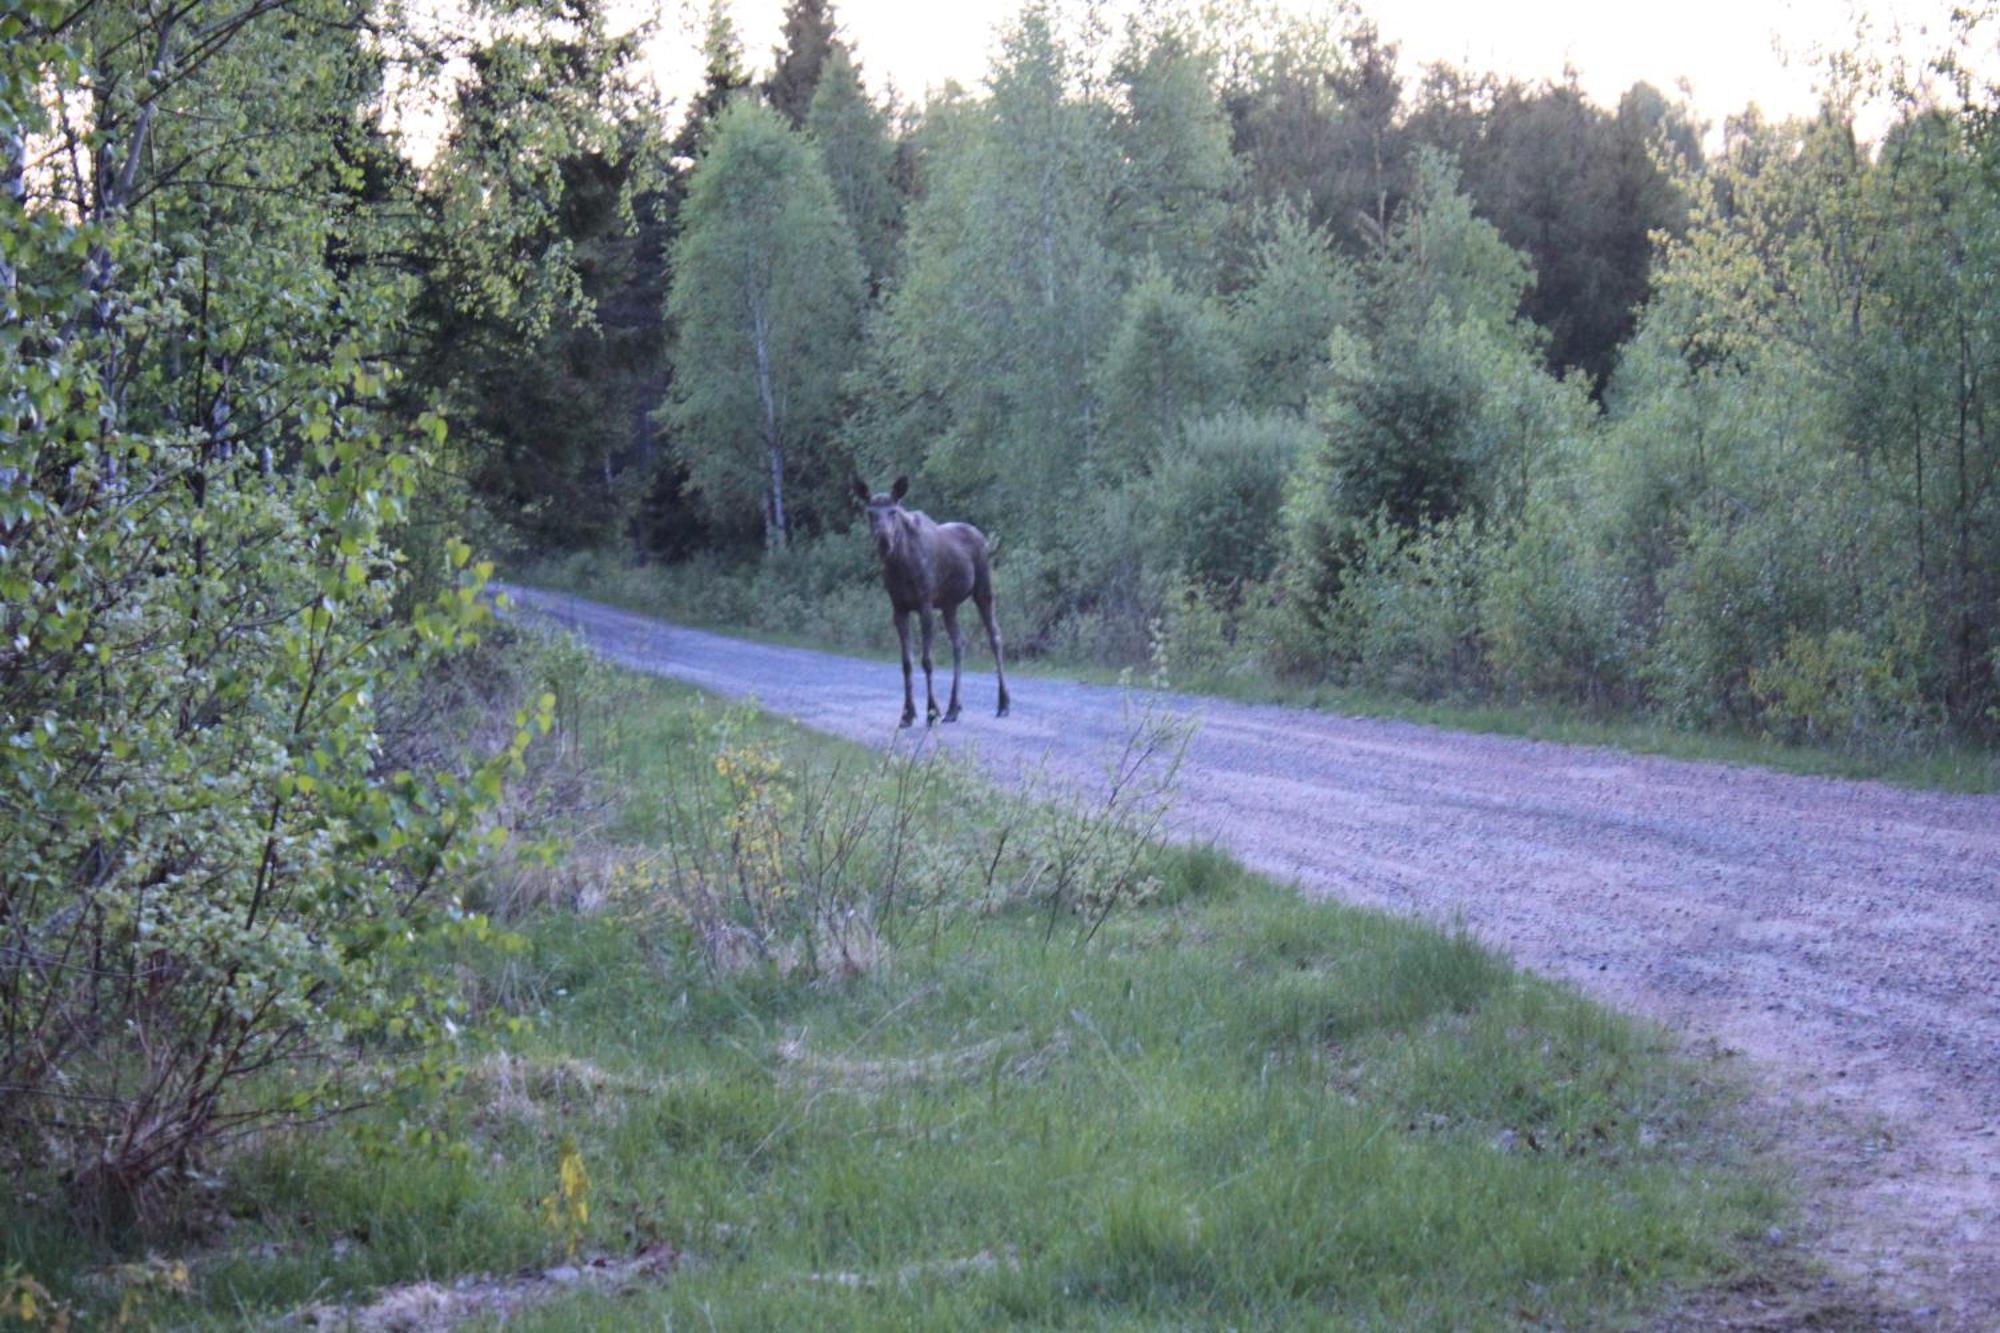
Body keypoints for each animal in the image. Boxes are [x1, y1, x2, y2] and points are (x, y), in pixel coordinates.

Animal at [852, 474, 1008, 728]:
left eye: (893, 512)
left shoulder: (925, 604)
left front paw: (931, 711)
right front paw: (907, 713)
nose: (884, 540)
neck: (900, 565)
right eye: (870, 513)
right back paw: (954, 708)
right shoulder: (898, 608)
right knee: (959, 642)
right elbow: (906, 662)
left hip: (983, 590)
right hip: (949, 605)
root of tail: (979, 534)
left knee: (995, 635)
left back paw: (1003, 704)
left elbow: (927, 660)